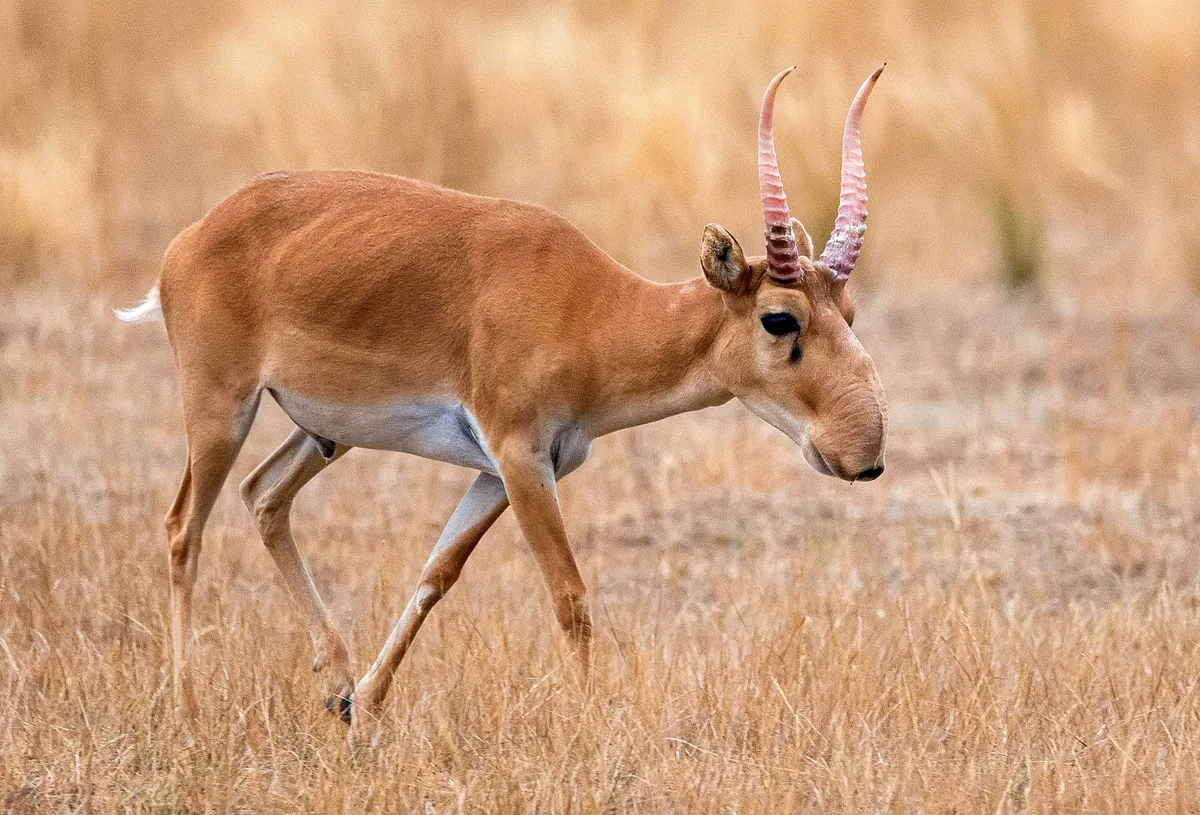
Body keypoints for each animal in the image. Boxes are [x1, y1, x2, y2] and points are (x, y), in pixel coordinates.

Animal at [117, 66, 887, 742]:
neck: (590, 307)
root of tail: (192, 239)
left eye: (849, 311)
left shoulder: (500, 470)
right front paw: (592, 732)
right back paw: (188, 712)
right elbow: (570, 596)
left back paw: (333, 683)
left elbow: (436, 573)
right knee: (183, 527)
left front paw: (364, 710)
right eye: (779, 318)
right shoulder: (520, 458)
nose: (865, 455)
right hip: (221, 410)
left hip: (323, 433)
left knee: (264, 495)